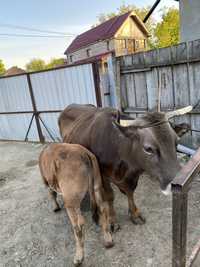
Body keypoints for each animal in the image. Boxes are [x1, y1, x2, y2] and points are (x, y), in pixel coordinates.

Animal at [58, 104, 192, 232]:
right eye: (148, 149)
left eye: (176, 142)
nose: (179, 184)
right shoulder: (103, 174)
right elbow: (109, 196)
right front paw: (112, 221)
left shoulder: (133, 174)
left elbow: (130, 191)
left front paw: (135, 214)